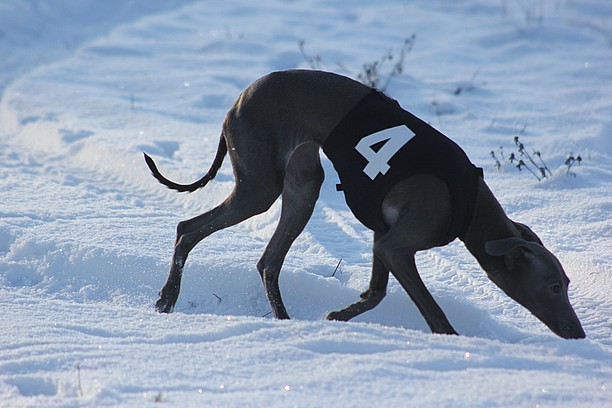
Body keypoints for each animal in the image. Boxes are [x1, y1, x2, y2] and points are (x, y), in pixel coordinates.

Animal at [145, 69, 588, 338]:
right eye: (553, 286)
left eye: (567, 284)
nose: (579, 332)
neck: (468, 204)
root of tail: (240, 96)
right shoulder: (397, 245)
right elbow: (433, 313)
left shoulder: (382, 237)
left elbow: (376, 293)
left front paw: (338, 316)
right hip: (260, 187)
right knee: (188, 229)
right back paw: (167, 299)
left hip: (303, 186)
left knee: (267, 261)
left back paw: (286, 324)